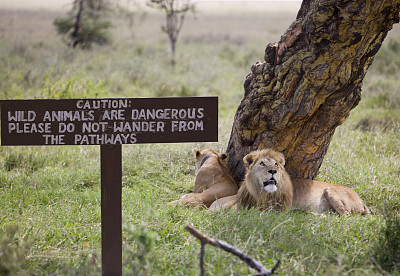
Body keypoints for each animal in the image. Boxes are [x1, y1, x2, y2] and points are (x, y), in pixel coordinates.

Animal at [211, 149, 370, 216]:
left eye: (276, 164)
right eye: (262, 163)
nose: (273, 171)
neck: (262, 193)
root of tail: (362, 201)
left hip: (329, 190)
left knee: (345, 216)